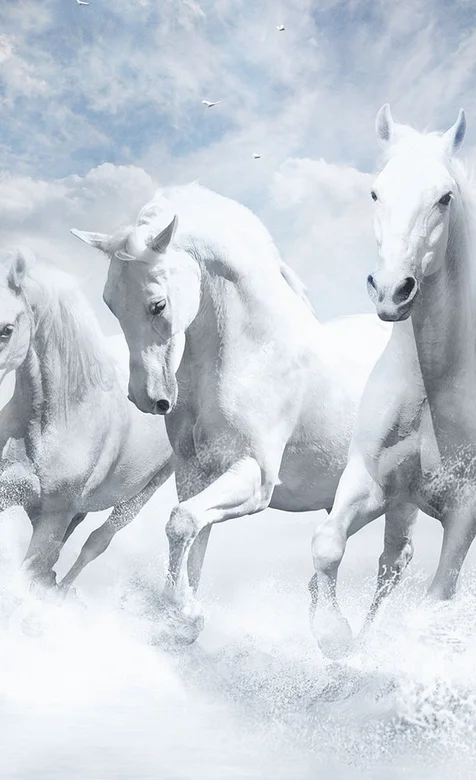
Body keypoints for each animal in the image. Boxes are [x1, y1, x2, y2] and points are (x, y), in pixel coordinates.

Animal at [71, 182, 391, 644]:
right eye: (110, 304)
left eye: (157, 305)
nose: (146, 399)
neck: (253, 353)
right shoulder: (196, 474)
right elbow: (193, 535)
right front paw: (183, 618)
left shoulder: (254, 477)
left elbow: (181, 523)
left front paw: (185, 613)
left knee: (395, 561)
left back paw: (354, 639)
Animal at [303, 106, 476, 658]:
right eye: (376, 192)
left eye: (444, 198)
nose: (391, 291)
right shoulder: (372, 481)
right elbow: (327, 544)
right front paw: (334, 637)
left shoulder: (465, 509)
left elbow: (438, 597)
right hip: (401, 506)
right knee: (390, 563)